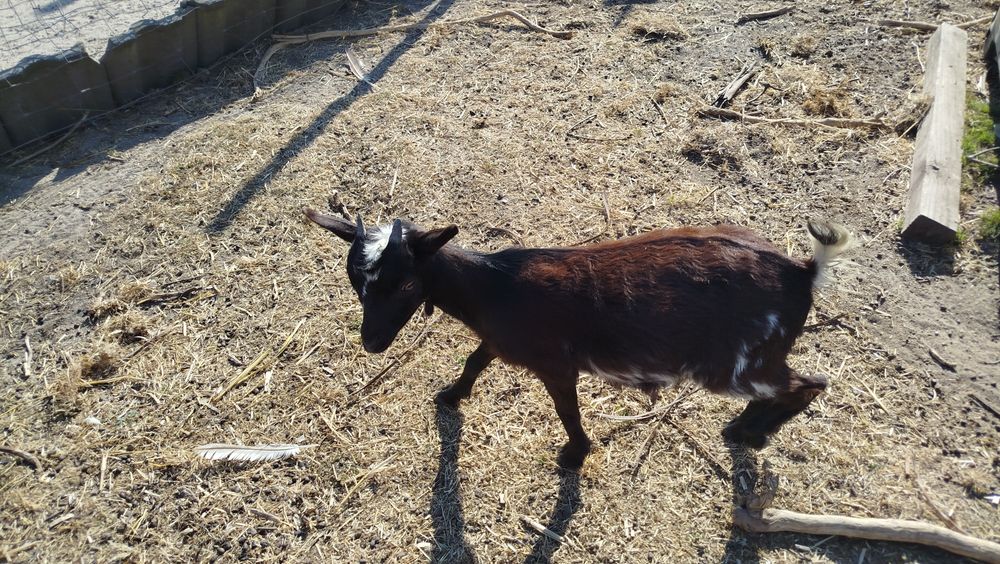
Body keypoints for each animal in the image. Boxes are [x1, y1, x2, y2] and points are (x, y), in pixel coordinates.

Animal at [304, 207, 851, 469]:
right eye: (355, 280)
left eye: (404, 284)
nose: (372, 343)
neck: (494, 287)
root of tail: (802, 272)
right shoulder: (500, 340)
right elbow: (475, 360)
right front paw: (451, 396)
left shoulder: (556, 363)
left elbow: (566, 409)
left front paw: (575, 455)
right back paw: (743, 429)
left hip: (738, 363)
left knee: (811, 383)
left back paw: (751, 433)